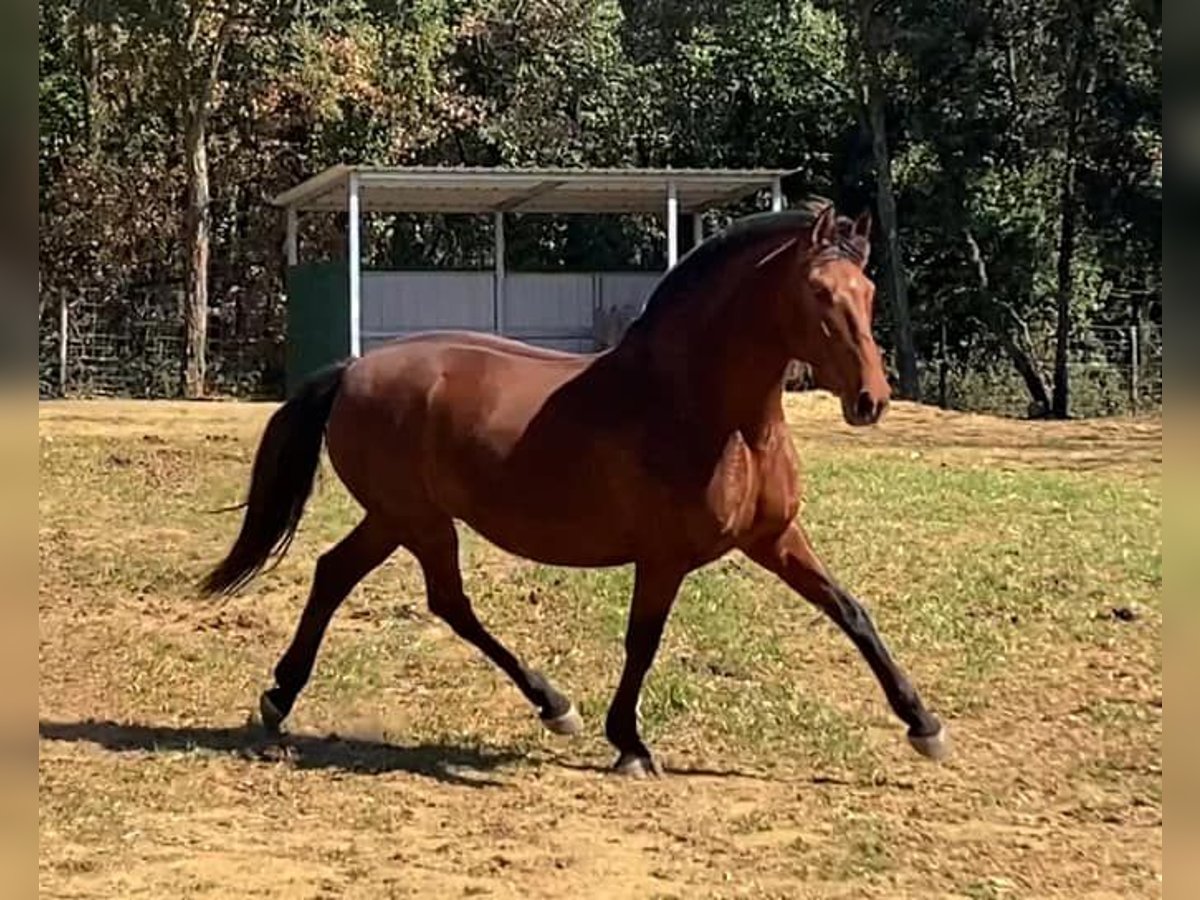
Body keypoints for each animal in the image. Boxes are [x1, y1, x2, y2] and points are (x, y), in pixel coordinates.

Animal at [204, 200, 945, 777]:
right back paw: (554, 705)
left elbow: (850, 612)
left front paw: (924, 724)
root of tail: (352, 370)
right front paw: (630, 744)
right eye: (820, 293)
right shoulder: (664, 557)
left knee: (336, 574)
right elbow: (643, 641)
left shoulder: (775, 537)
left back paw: (280, 697)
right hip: (419, 522)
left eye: (868, 292)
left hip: (394, 519)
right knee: (447, 603)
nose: (871, 401)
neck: (709, 413)